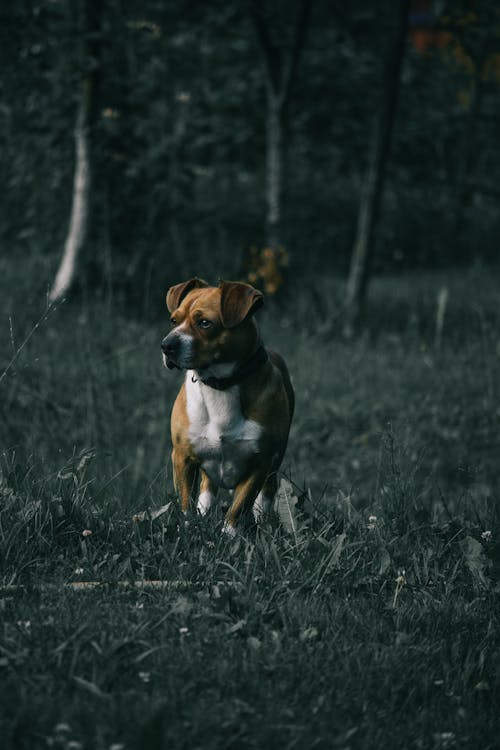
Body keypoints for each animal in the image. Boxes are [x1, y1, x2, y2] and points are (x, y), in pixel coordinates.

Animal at [161, 280, 292, 536]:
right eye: (174, 320)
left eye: (204, 323)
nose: (166, 346)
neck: (220, 386)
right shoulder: (182, 457)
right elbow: (185, 503)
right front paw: (188, 530)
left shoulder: (260, 463)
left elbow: (239, 507)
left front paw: (229, 536)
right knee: (207, 487)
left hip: (275, 463)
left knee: (266, 494)